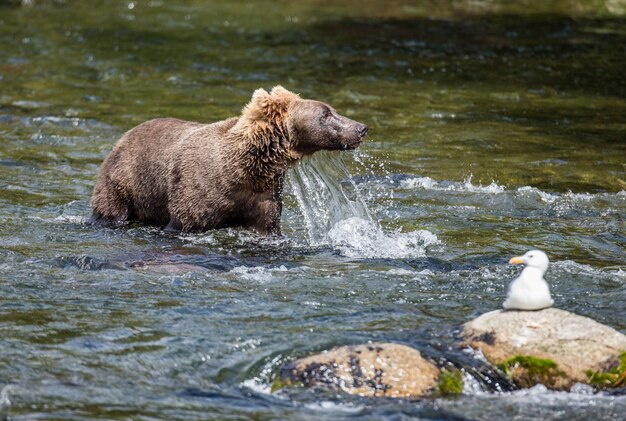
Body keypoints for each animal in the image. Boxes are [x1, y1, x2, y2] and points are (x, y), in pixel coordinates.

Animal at [89, 86, 366, 235]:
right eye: (326, 114)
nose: (361, 128)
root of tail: (122, 137)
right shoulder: (195, 193)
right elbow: (184, 220)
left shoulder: (263, 197)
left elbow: (266, 226)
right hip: (125, 181)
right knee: (112, 209)